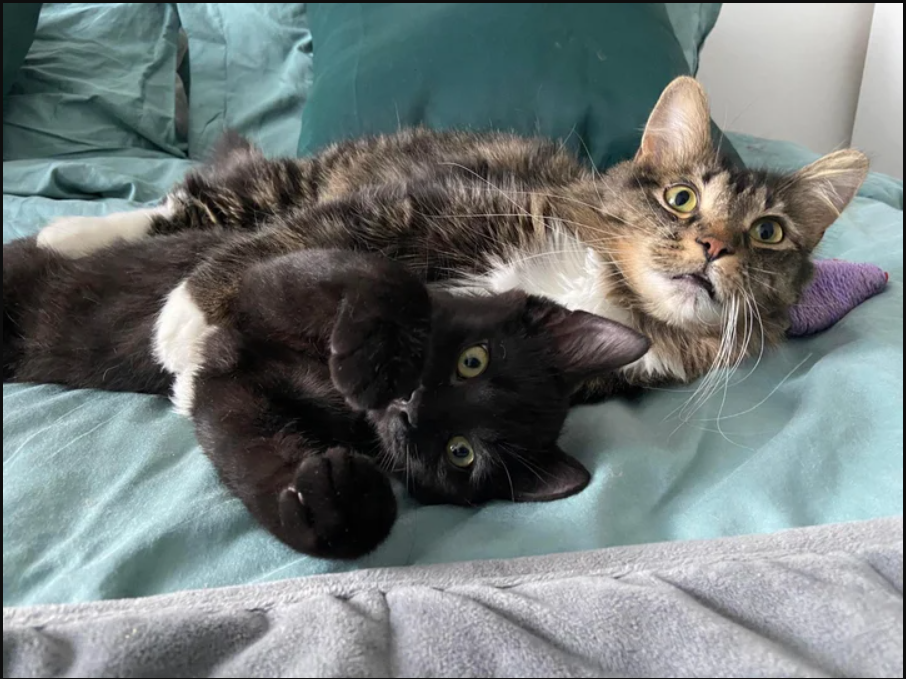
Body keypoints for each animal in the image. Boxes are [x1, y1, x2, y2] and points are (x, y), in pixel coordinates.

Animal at [1, 234, 648, 556]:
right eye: (473, 360)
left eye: (461, 453)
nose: (412, 410)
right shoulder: (263, 286)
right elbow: (384, 277)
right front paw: (374, 359)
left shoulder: (231, 391)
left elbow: (253, 453)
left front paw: (337, 508)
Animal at [35, 74, 868, 414]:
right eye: (683, 198)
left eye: (767, 234)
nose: (715, 248)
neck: (605, 287)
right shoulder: (415, 207)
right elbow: (281, 243)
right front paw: (184, 324)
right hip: (306, 181)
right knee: (199, 202)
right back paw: (63, 230)